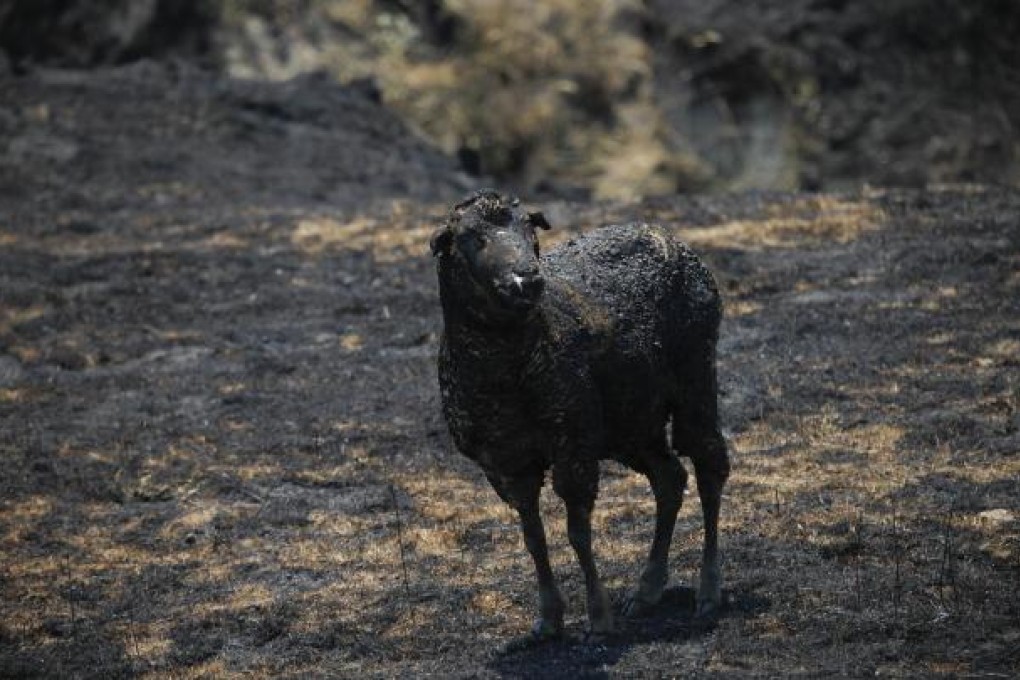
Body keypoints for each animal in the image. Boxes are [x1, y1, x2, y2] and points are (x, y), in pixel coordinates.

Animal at [430, 189, 730, 640]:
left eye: (530, 230)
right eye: (470, 238)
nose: (527, 280)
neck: (507, 371)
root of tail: (665, 234)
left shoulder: (572, 441)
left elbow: (577, 533)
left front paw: (598, 618)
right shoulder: (504, 463)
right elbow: (533, 536)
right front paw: (548, 620)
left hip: (695, 374)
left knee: (710, 467)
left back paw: (708, 591)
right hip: (631, 420)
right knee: (670, 478)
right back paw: (646, 590)